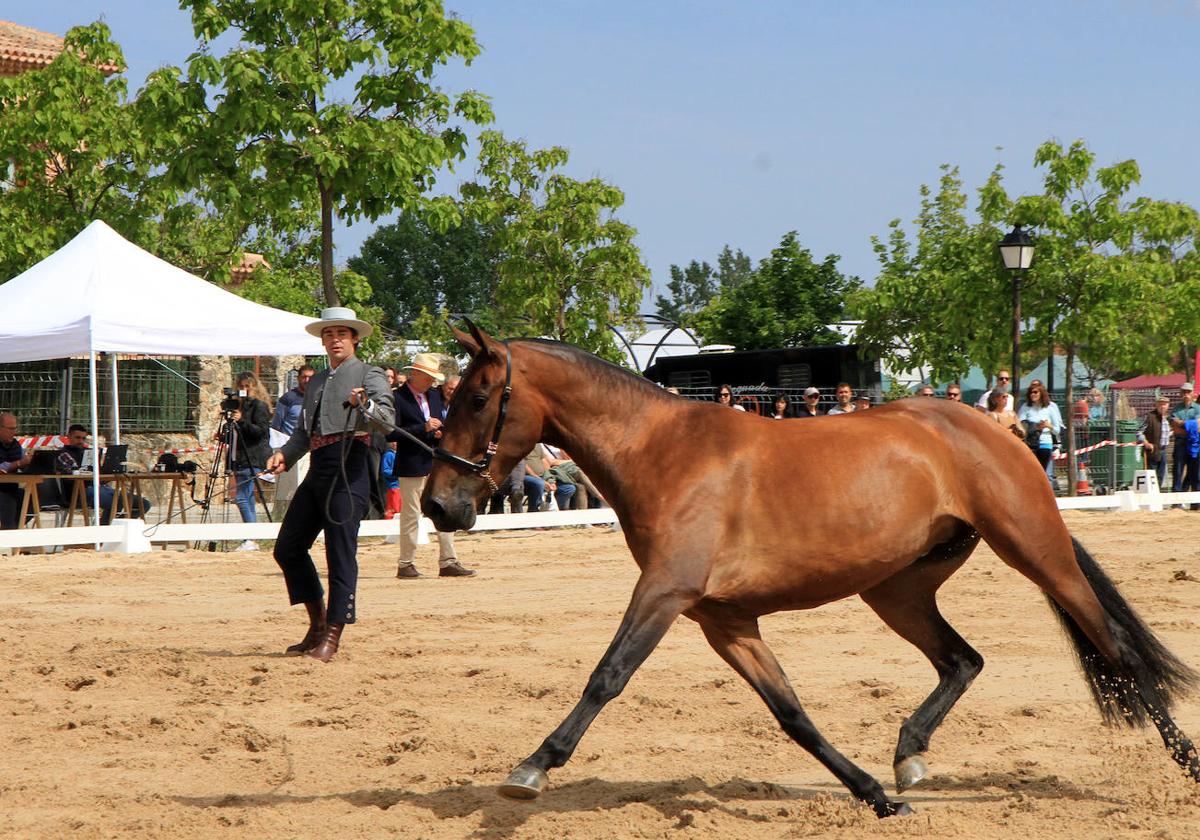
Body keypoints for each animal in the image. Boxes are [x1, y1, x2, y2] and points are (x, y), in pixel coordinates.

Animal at [422, 319, 1200, 816]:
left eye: (478, 398)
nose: (437, 505)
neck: (663, 453)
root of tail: (999, 428)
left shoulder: (666, 592)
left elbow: (607, 676)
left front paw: (531, 769)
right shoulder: (724, 620)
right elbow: (792, 713)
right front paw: (875, 798)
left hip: (1037, 554)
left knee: (1116, 648)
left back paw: (1186, 763)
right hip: (897, 589)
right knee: (963, 660)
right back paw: (908, 757)